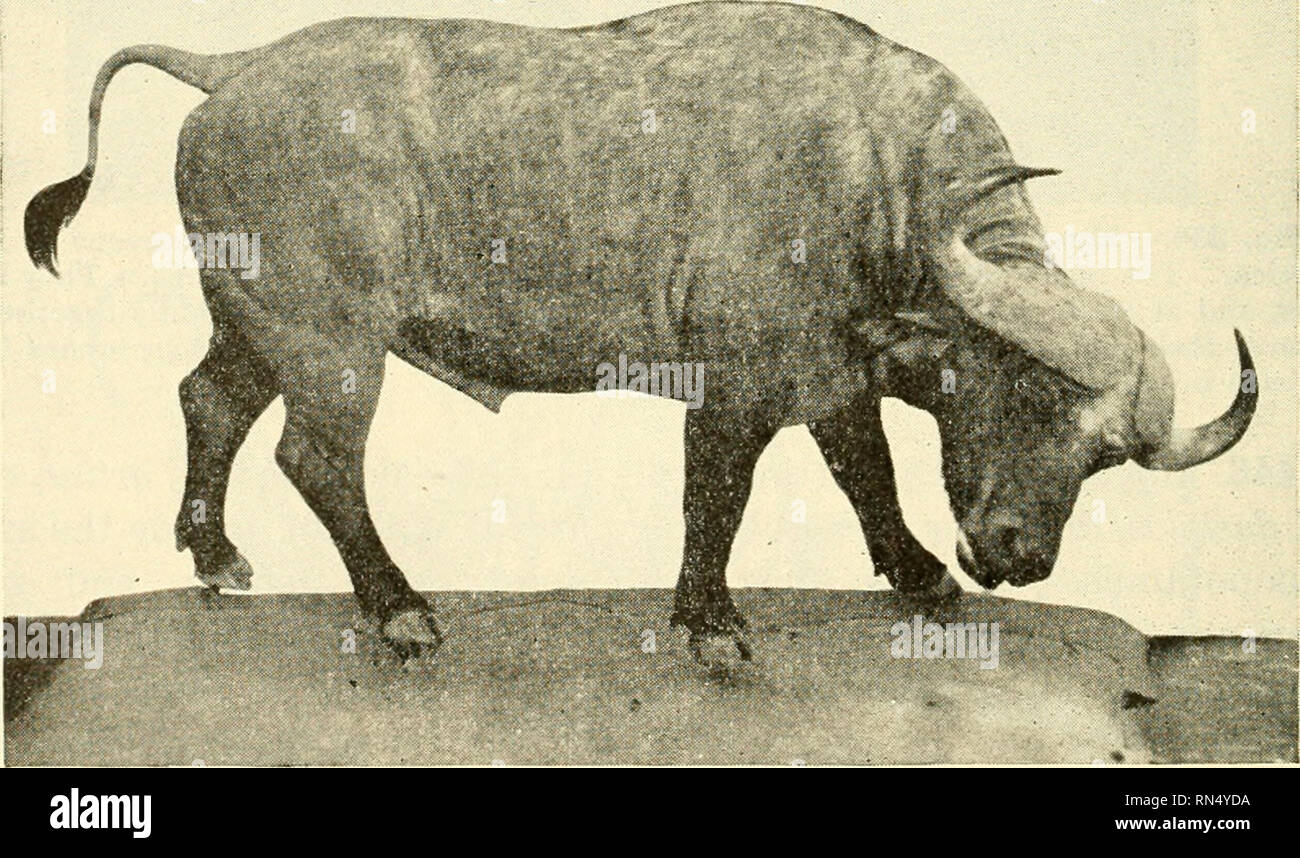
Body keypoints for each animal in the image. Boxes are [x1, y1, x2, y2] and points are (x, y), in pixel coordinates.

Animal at [25, 2, 1256, 662]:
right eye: (1017, 390)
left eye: (1101, 458)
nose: (1018, 557)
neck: (874, 178)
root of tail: (231, 70)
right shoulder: (737, 386)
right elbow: (721, 496)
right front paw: (711, 626)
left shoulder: (829, 378)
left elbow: (867, 472)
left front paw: (920, 580)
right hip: (333, 346)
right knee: (314, 457)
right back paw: (404, 613)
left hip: (256, 325)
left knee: (209, 400)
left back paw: (218, 559)